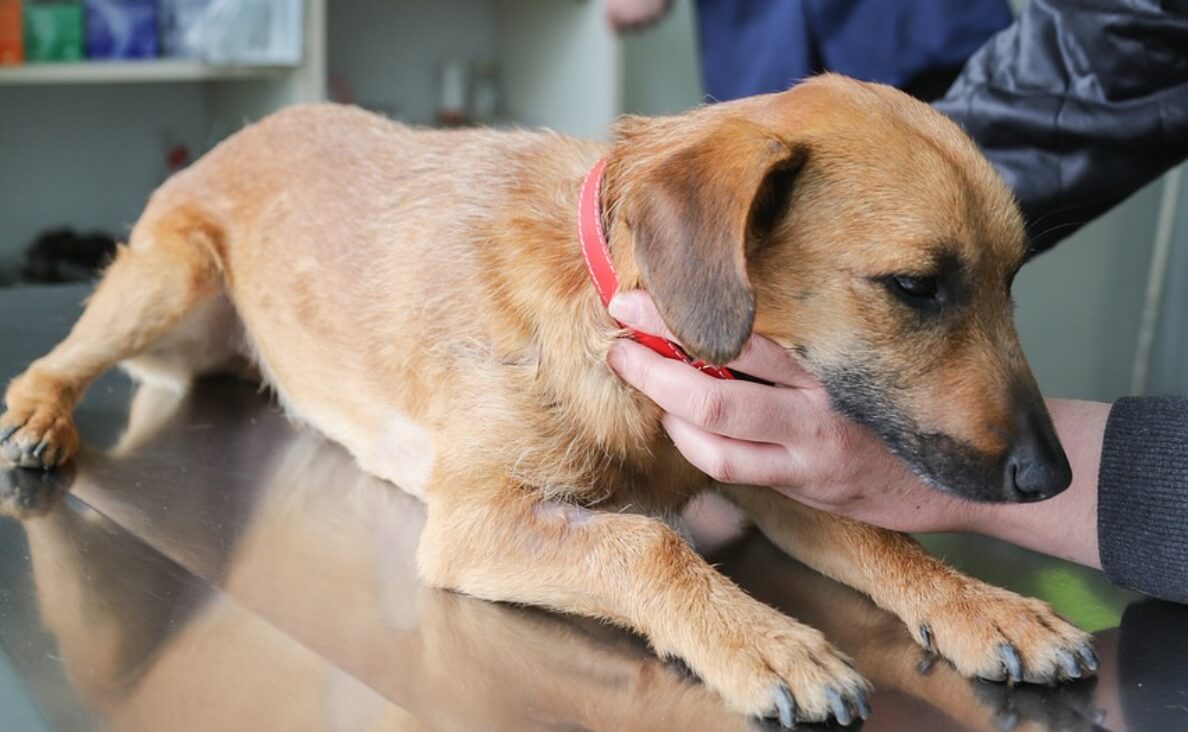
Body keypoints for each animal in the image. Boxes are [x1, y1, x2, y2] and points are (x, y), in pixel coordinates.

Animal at [0, 74, 1092, 727]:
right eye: (915, 287)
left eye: (1012, 280)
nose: (1055, 479)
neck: (622, 321)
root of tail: (251, 127)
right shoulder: (476, 522)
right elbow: (647, 545)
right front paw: (765, 641)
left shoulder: (760, 460)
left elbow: (884, 543)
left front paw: (985, 606)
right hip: (170, 277)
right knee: (54, 360)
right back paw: (38, 419)